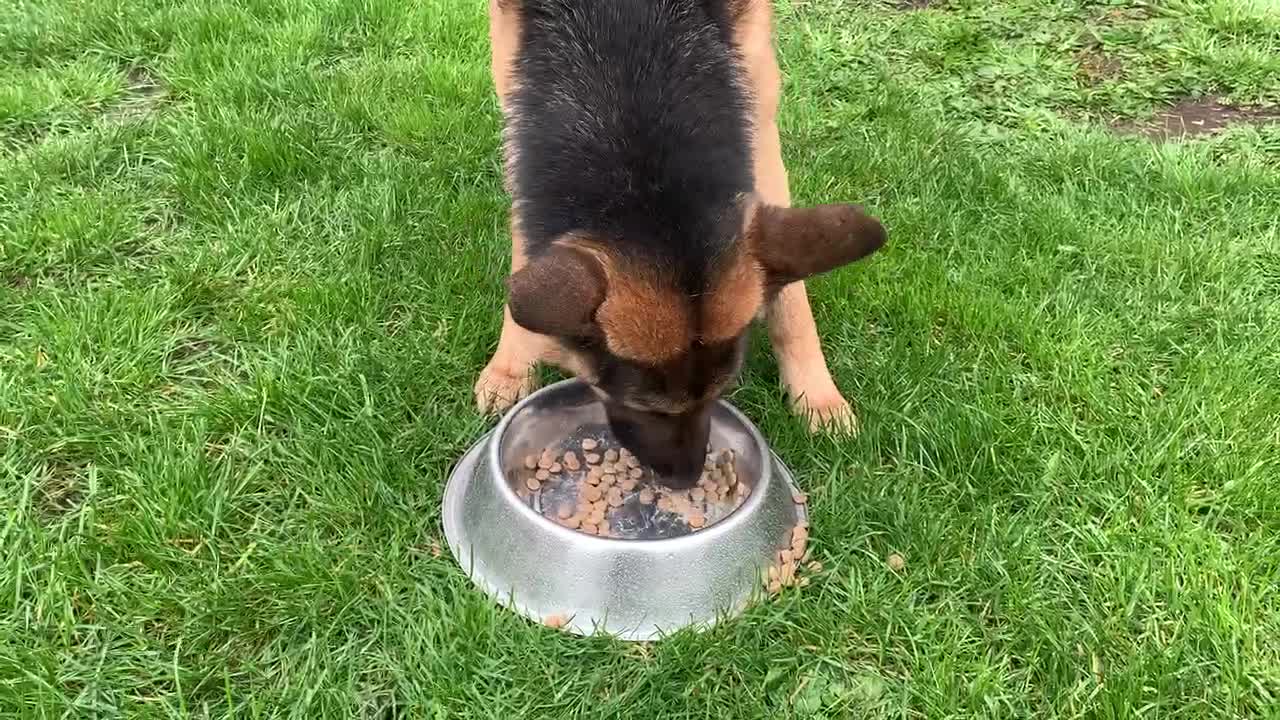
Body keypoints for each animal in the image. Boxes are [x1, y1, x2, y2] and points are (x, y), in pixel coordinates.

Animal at [476, 0, 885, 484]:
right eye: (641, 406)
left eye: (720, 392)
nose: (687, 479)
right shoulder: (517, 89)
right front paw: (510, 366)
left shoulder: (755, 102)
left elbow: (792, 303)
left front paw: (817, 396)